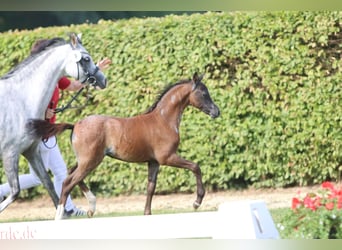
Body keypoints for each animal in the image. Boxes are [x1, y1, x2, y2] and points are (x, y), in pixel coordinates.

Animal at [0, 32, 107, 213]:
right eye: (86, 59)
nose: (103, 80)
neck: (21, 100)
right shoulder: (10, 153)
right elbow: (15, 191)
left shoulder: (31, 151)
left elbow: (48, 184)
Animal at [30, 72, 220, 219]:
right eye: (203, 93)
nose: (216, 112)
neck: (163, 120)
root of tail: (76, 125)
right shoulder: (167, 158)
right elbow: (195, 166)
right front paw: (196, 202)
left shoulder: (153, 162)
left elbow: (151, 187)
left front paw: (147, 213)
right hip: (91, 160)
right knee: (68, 182)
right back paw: (61, 216)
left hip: (85, 161)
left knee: (71, 174)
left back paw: (91, 207)